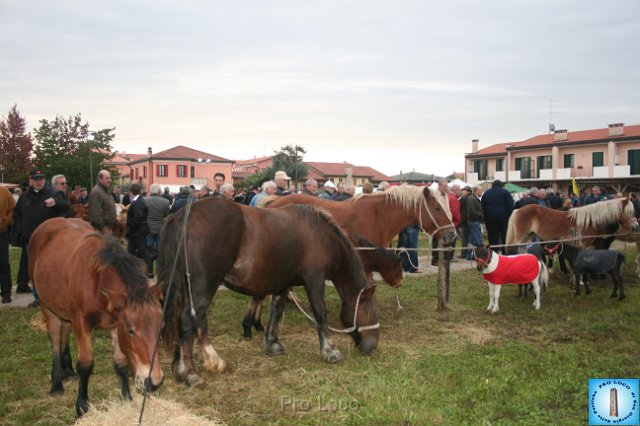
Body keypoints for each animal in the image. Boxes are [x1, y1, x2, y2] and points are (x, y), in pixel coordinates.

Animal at [28, 220, 164, 416]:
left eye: (161, 328)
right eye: (131, 330)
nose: (153, 381)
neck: (97, 279)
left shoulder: (116, 323)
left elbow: (121, 363)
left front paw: (126, 399)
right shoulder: (81, 321)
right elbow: (86, 364)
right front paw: (82, 406)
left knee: (64, 330)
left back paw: (67, 370)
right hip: (46, 305)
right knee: (55, 336)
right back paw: (57, 382)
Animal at [159, 198, 380, 388]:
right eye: (367, 310)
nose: (372, 347)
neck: (321, 235)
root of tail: (182, 215)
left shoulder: (283, 284)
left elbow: (276, 311)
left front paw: (272, 344)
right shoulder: (315, 279)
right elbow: (320, 314)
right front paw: (330, 351)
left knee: (193, 319)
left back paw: (203, 363)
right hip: (205, 285)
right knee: (187, 319)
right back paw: (189, 373)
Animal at [508, 197, 636, 248]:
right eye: (628, 212)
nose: (636, 226)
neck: (590, 221)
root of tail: (518, 209)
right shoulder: (583, 244)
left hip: (528, 236)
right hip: (520, 237)